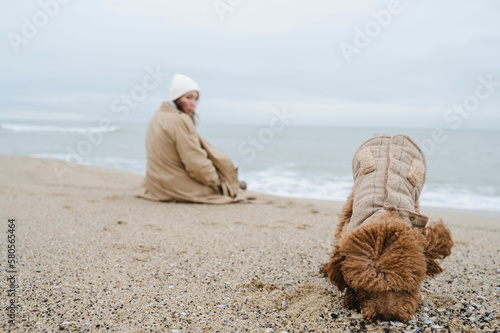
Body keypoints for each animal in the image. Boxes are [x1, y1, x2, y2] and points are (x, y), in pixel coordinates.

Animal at [320, 135, 454, 322]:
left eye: (405, 286)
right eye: (366, 287)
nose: (385, 315)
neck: (387, 216)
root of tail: (390, 138)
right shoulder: (349, 228)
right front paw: (350, 296)